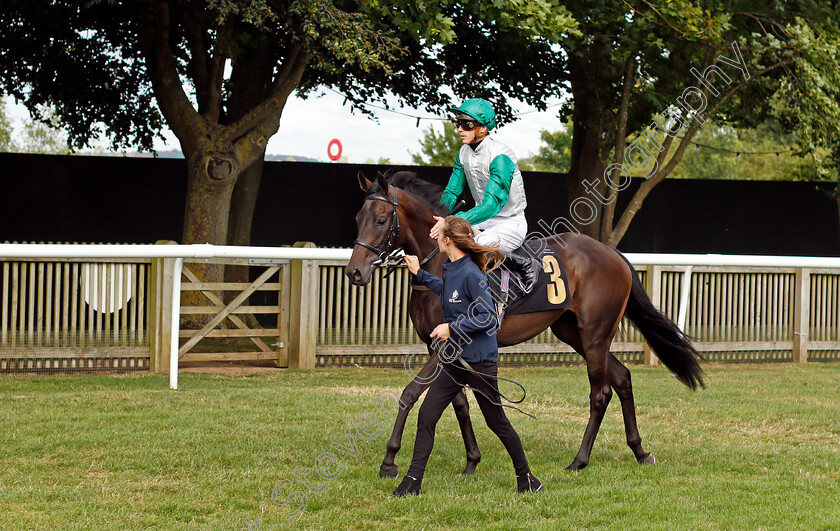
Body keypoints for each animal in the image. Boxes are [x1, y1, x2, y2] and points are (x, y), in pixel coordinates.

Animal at [344, 170, 704, 478]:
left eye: (381, 220)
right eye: (358, 219)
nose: (354, 272)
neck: (444, 265)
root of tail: (613, 254)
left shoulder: (447, 344)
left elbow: (410, 394)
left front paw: (389, 460)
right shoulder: (438, 347)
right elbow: (459, 403)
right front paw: (472, 461)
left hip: (595, 334)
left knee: (601, 392)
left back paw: (579, 460)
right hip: (573, 333)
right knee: (623, 377)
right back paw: (640, 451)